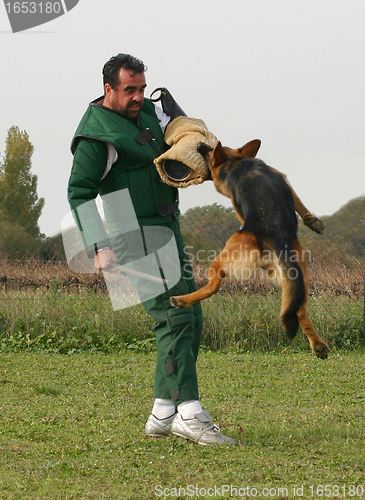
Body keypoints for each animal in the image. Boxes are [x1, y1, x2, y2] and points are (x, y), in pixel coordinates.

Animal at [171, 141, 330, 360]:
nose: (200, 143)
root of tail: (275, 239)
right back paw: (318, 345)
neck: (237, 161)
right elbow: (299, 203)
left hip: (221, 260)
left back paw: (181, 300)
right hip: (296, 280)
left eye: (209, 151)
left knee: (214, 286)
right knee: (299, 309)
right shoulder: (283, 179)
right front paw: (314, 221)